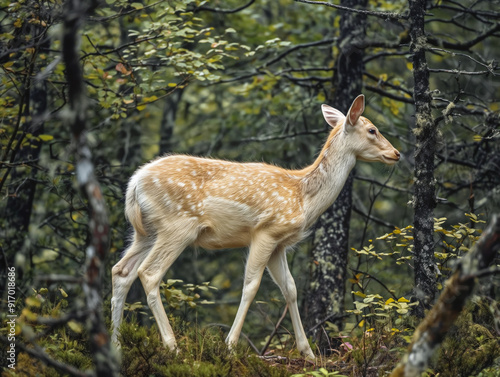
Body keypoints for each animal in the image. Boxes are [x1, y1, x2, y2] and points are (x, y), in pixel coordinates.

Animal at [111, 94, 400, 358]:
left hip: (145, 232)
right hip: (177, 226)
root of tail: (134, 183)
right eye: (372, 129)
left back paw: (115, 345)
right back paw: (173, 347)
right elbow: (251, 286)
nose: (396, 153)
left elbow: (291, 289)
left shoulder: (280, 244)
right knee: (149, 273)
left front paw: (307, 352)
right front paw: (230, 345)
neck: (303, 198)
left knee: (121, 271)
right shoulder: (266, 231)